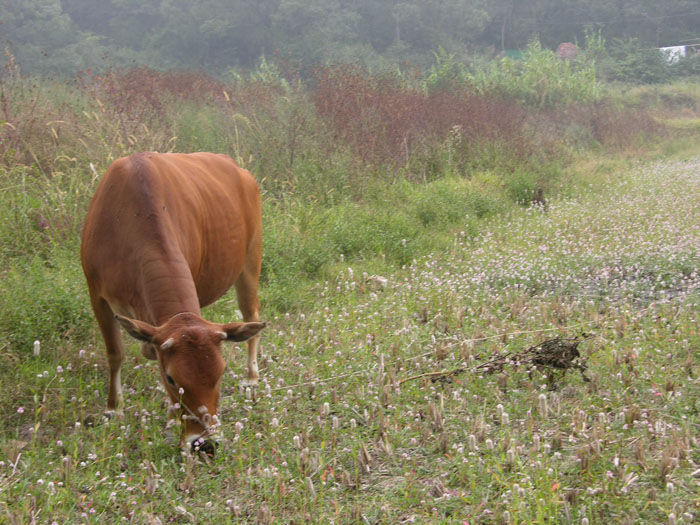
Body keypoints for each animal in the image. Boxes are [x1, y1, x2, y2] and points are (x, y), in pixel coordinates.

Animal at [81, 150, 266, 450]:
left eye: (222, 372)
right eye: (171, 377)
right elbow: (115, 353)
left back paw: (251, 377)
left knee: (251, 313)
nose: (204, 443)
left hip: (251, 258)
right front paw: (113, 408)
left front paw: (169, 419)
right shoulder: (96, 293)